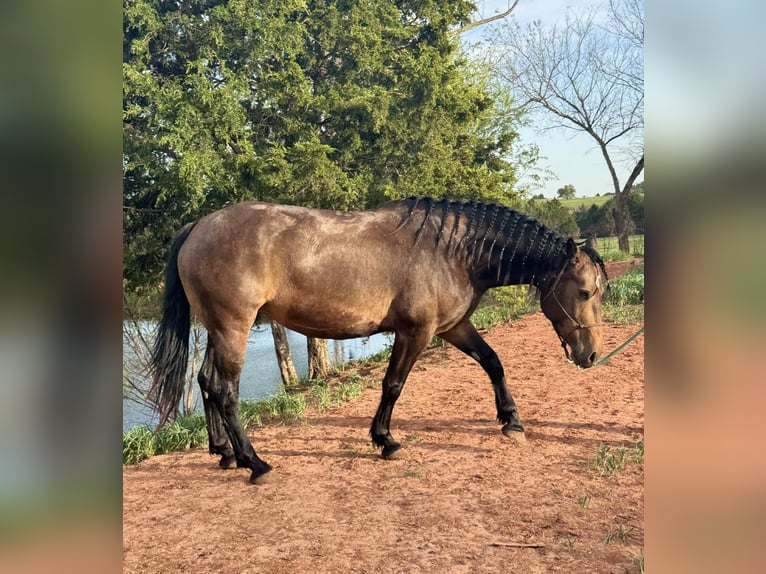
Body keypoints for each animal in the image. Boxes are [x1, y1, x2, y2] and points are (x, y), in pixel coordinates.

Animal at [149, 197, 608, 484]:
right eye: (586, 292)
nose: (591, 355)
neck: (452, 250)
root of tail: (198, 226)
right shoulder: (416, 332)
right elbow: (393, 385)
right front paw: (385, 441)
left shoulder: (452, 327)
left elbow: (493, 362)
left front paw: (511, 421)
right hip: (233, 327)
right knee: (225, 389)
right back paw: (254, 463)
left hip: (218, 329)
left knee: (206, 382)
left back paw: (224, 453)